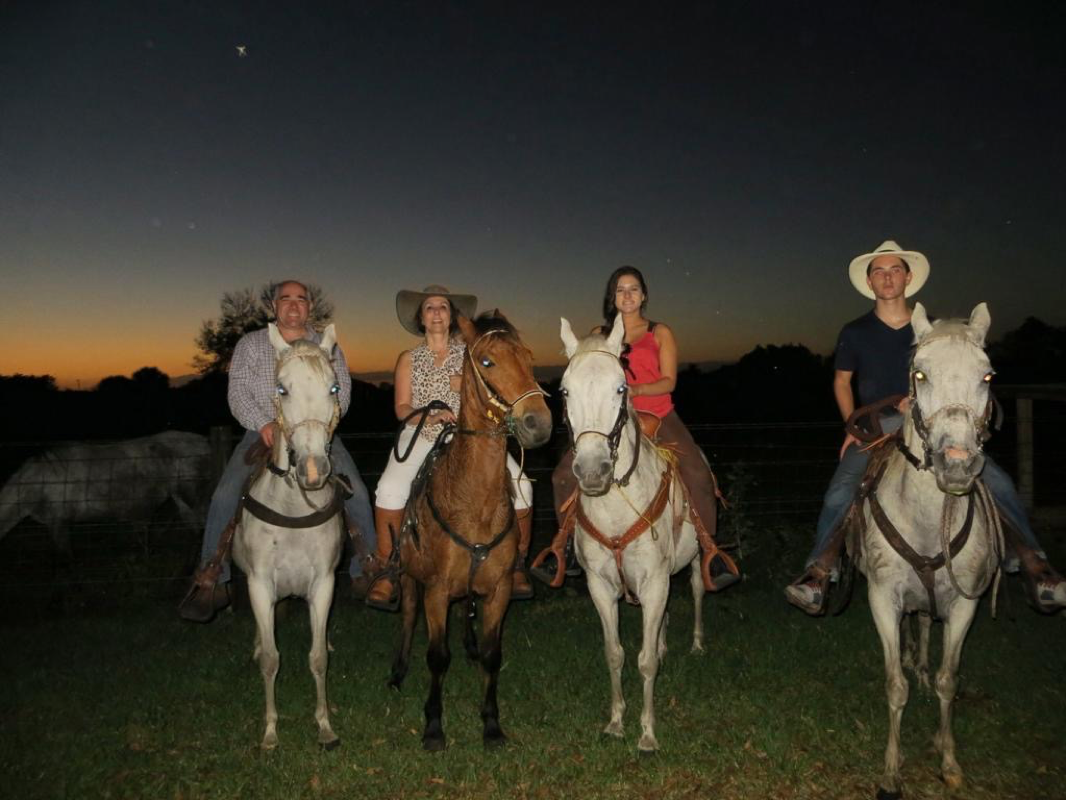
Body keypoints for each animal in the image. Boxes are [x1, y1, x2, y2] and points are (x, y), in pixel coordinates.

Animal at [0, 428, 210, 554]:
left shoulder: (58, 520)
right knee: (192, 524)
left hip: (192, 492)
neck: (34, 487)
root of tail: (205, 441)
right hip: (180, 496)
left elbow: (66, 557)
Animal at [233, 322, 345, 755]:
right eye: (281, 388)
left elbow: (317, 659)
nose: (313, 471)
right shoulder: (260, 584)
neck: (294, 508)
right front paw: (270, 732)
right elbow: (271, 660)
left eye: (334, 387)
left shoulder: (324, 584)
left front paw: (325, 726)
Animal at [388, 313, 550, 750]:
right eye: (487, 361)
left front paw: (491, 724)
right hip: (409, 580)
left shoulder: (499, 590)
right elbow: (437, 657)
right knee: (406, 619)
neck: (473, 502)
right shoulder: (436, 591)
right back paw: (397, 672)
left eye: (529, 358)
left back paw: (470, 645)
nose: (539, 423)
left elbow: (494, 656)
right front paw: (433, 726)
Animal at [558, 315, 707, 755]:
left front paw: (647, 733)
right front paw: (615, 722)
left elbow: (646, 662)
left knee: (696, 588)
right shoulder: (600, 585)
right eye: (565, 391)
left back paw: (696, 643)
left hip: (695, 558)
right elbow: (615, 654)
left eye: (621, 388)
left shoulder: (655, 581)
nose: (593, 471)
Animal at [852, 302, 1002, 797]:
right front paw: (890, 771)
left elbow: (948, 680)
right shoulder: (882, 598)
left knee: (923, 628)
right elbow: (894, 685)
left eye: (987, 375)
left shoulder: (965, 605)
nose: (956, 464)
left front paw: (948, 757)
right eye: (919, 374)